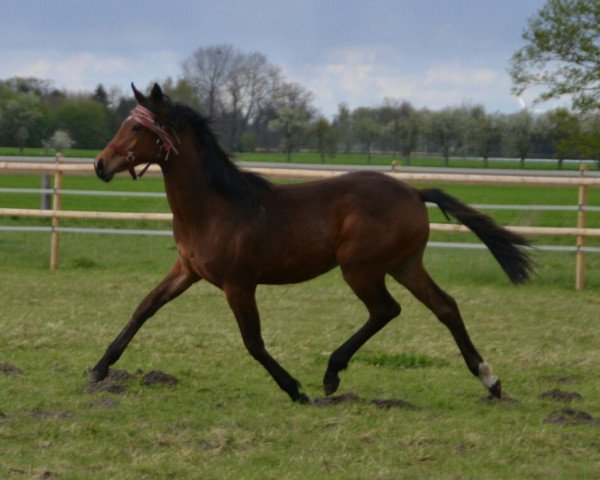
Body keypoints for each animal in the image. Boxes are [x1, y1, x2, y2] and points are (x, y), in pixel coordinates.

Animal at [91, 84, 532, 404]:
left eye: (137, 128)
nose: (99, 164)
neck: (215, 207)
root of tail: (414, 191)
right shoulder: (186, 270)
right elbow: (145, 307)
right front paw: (98, 368)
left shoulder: (239, 284)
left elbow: (253, 342)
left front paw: (294, 389)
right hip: (403, 264)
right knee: (445, 307)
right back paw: (489, 379)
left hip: (361, 269)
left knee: (386, 310)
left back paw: (331, 373)